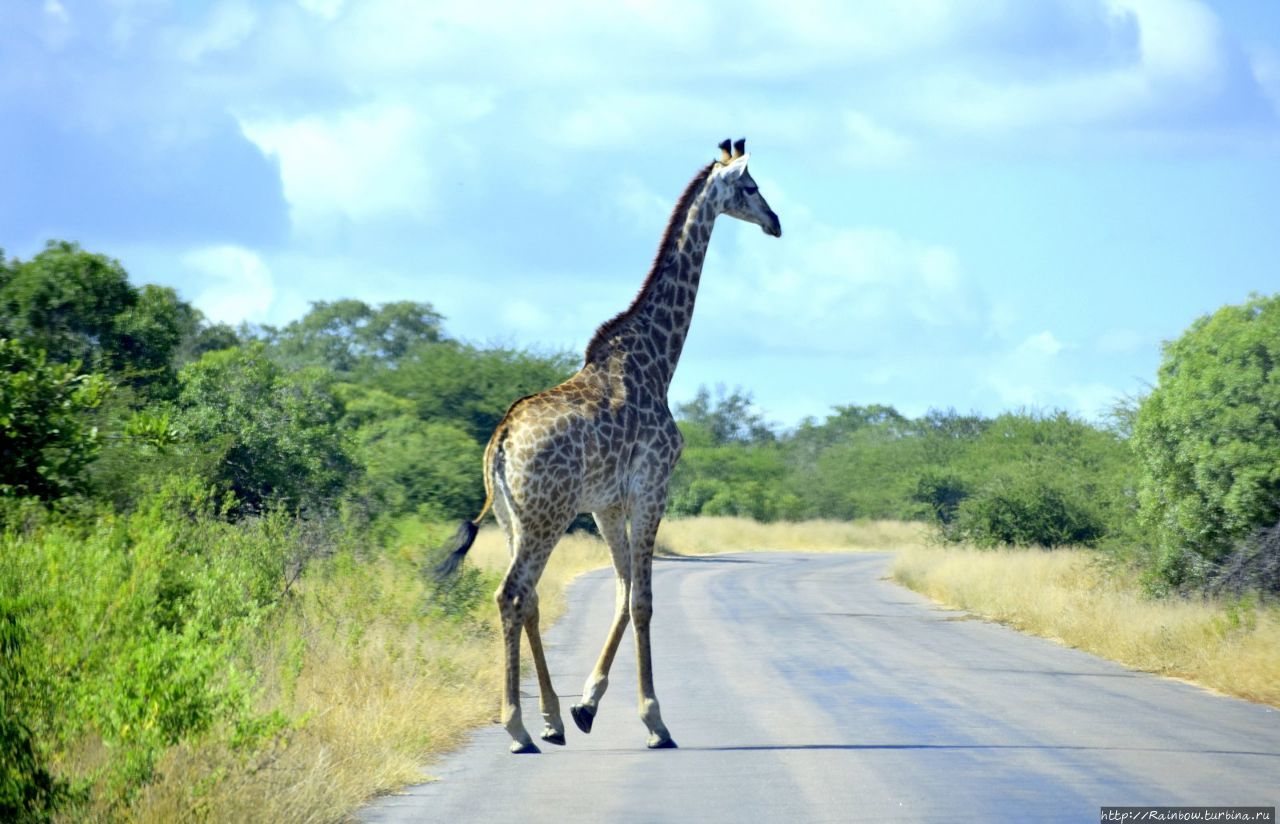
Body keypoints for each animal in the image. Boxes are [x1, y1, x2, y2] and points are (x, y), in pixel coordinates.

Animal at [437, 138, 778, 757]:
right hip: (546, 516)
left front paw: (585, 707)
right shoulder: (651, 488)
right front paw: (654, 722)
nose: (776, 223)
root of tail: (500, 442)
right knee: (511, 594)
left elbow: (622, 593)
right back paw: (518, 728)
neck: (658, 362)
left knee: (528, 598)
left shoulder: (606, 505)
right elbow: (642, 600)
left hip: (513, 518)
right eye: (750, 186)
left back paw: (546, 720)